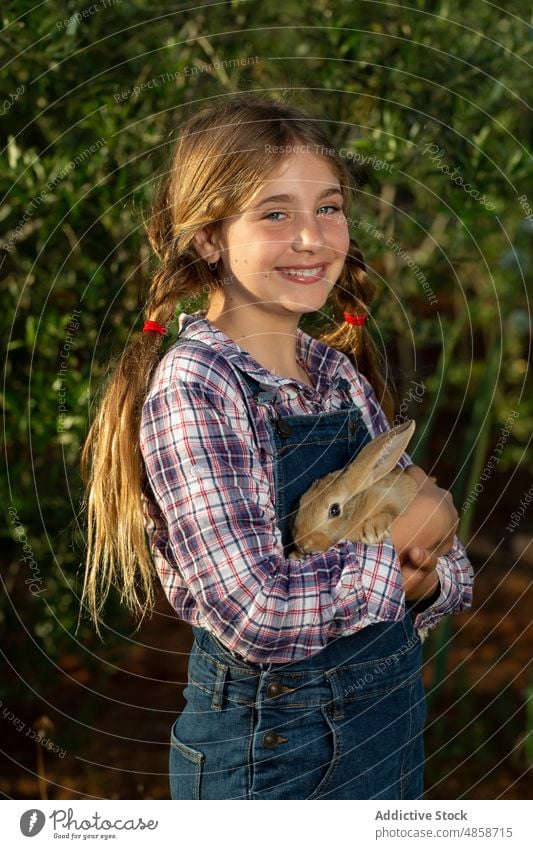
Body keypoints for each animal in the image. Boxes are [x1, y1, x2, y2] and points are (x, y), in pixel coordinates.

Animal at [288, 420, 418, 556]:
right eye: (301, 502)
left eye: (334, 510)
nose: (301, 544)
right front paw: (294, 555)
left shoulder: (393, 496)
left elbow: (390, 510)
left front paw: (373, 532)